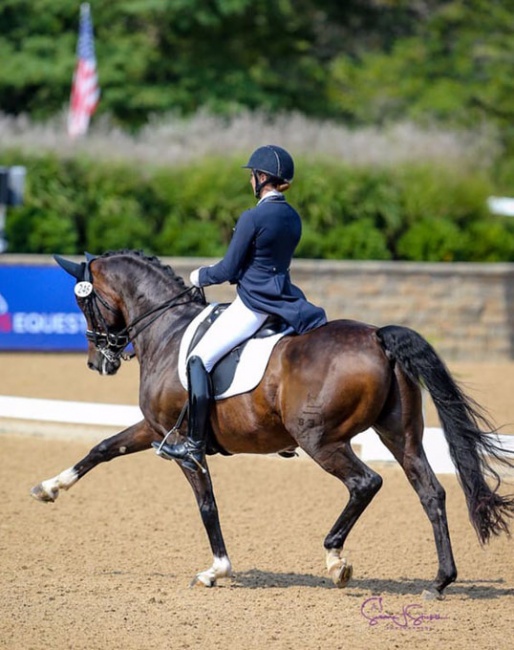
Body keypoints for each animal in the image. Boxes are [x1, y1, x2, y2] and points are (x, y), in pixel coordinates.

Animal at [31, 248, 512, 596]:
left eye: (84, 302)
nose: (99, 363)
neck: (166, 329)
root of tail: (377, 335)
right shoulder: (154, 428)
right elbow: (102, 448)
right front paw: (49, 488)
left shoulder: (182, 446)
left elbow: (207, 504)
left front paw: (216, 570)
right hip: (400, 435)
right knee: (430, 491)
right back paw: (440, 581)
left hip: (320, 440)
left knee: (366, 483)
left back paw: (336, 560)